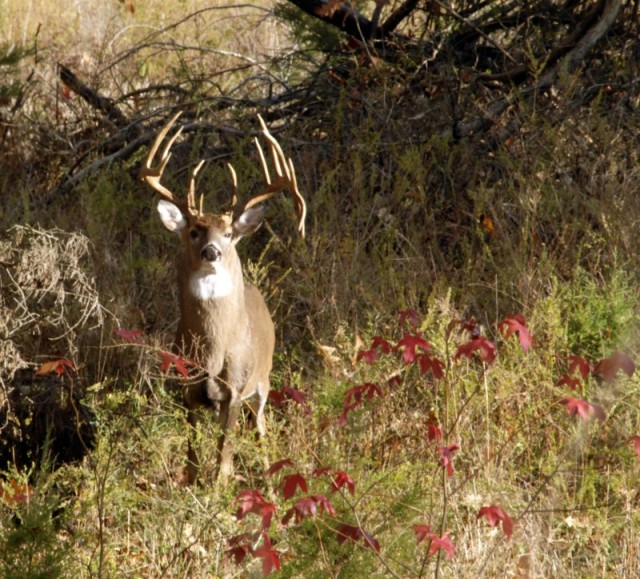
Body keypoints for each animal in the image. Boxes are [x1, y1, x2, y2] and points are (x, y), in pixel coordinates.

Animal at [139, 113, 308, 484]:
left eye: (229, 233)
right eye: (194, 231)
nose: (212, 251)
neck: (213, 353)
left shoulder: (235, 390)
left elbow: (223, 465)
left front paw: (219, 492)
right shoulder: (188, 389)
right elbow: (191, 462)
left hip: (262, 382)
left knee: (261, 432)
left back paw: (269, 482)